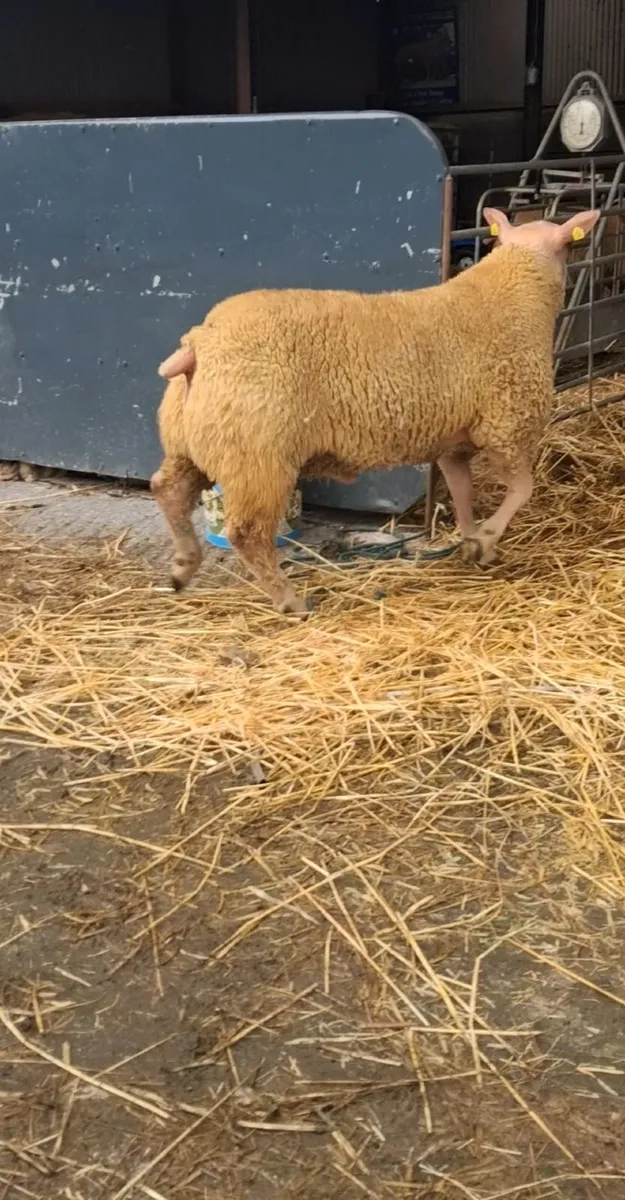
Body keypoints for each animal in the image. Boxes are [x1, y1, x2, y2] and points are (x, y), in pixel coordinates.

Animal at [152, 206, 599, 615]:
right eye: (568, 247)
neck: (515, 291)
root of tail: (200, 345)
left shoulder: (453, 443)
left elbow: (462, 494)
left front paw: (474, 544)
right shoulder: (506, 425)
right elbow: (522, 491)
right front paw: (487, 537)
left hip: (196, 441)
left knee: (167, 490)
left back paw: (182, 568)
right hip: (256, 454)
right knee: (247, 532)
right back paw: (289, 601)